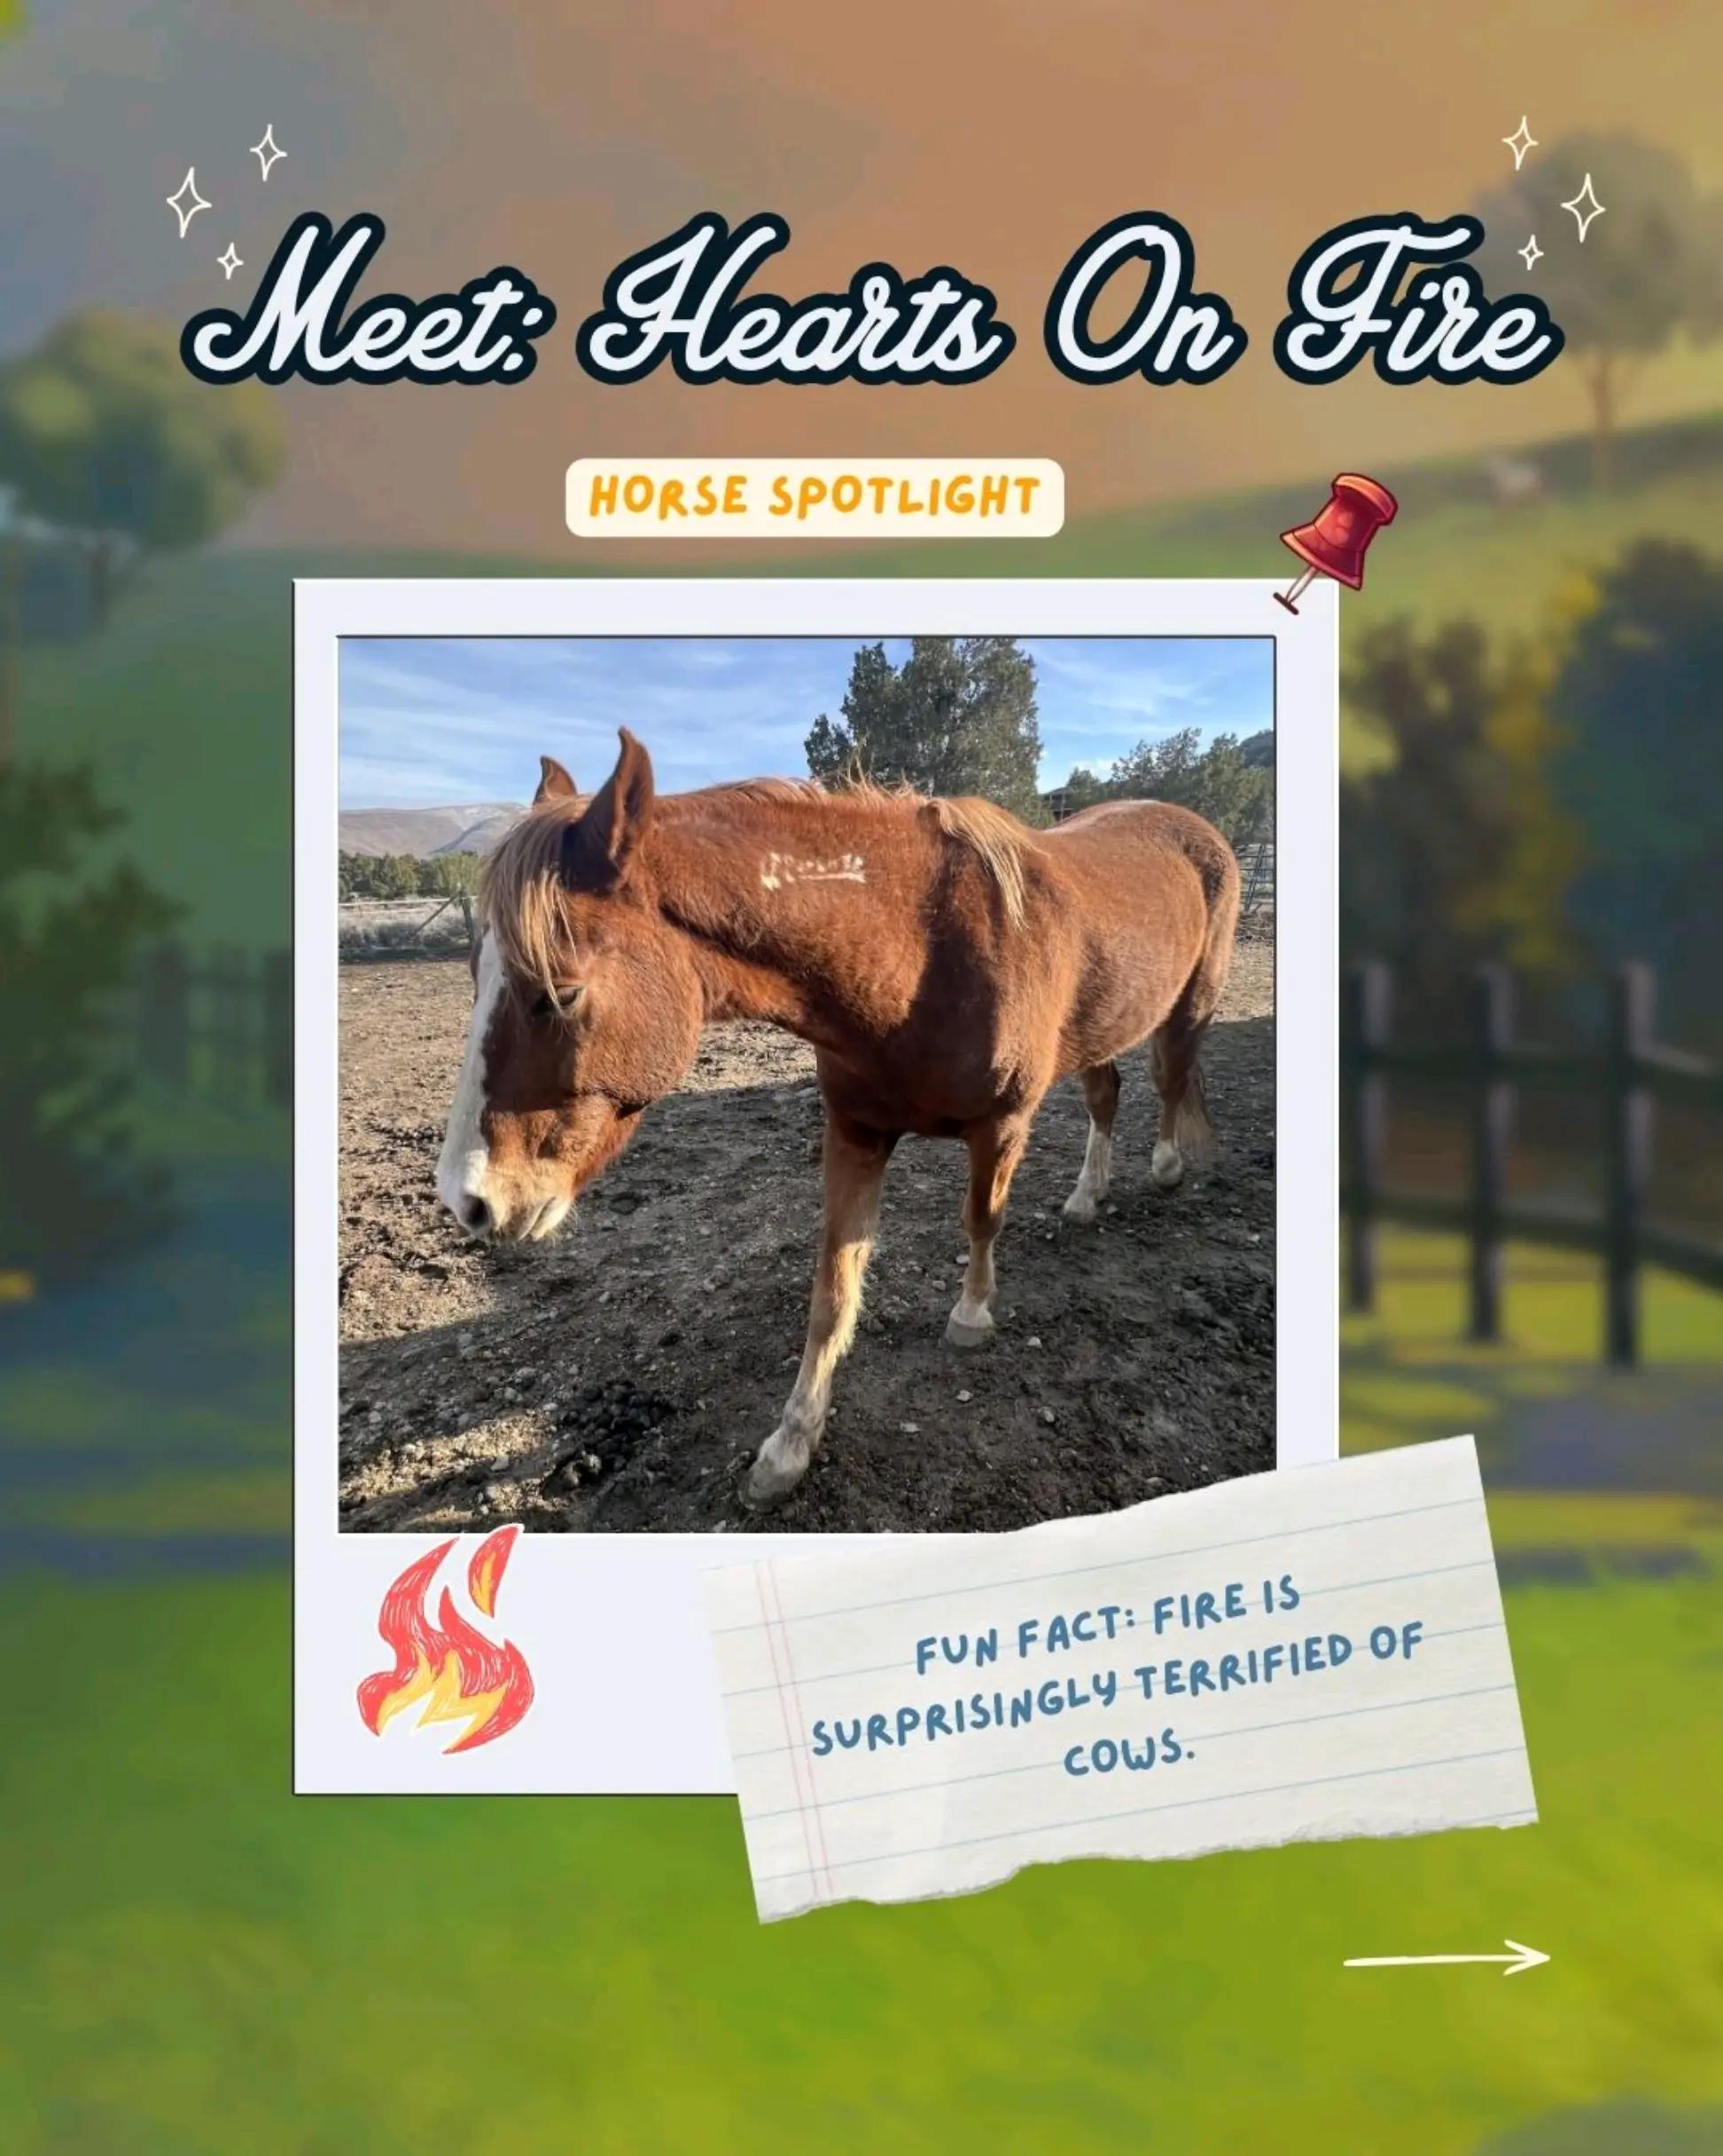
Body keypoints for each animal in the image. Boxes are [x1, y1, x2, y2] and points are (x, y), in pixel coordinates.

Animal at [436, 729, 1240, 1511]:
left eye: (560, 993)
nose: (467, 1201)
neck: (920, 957)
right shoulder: (855, 1134)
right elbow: (833, 1287)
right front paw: (790, 1445)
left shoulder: (1003, 1125)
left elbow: (982, 1221)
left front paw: (971, 1317)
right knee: (1106, 1095)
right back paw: (1085, 1196)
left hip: (1188, 1005)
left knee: (1170, 1077)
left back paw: (1166, 1166)